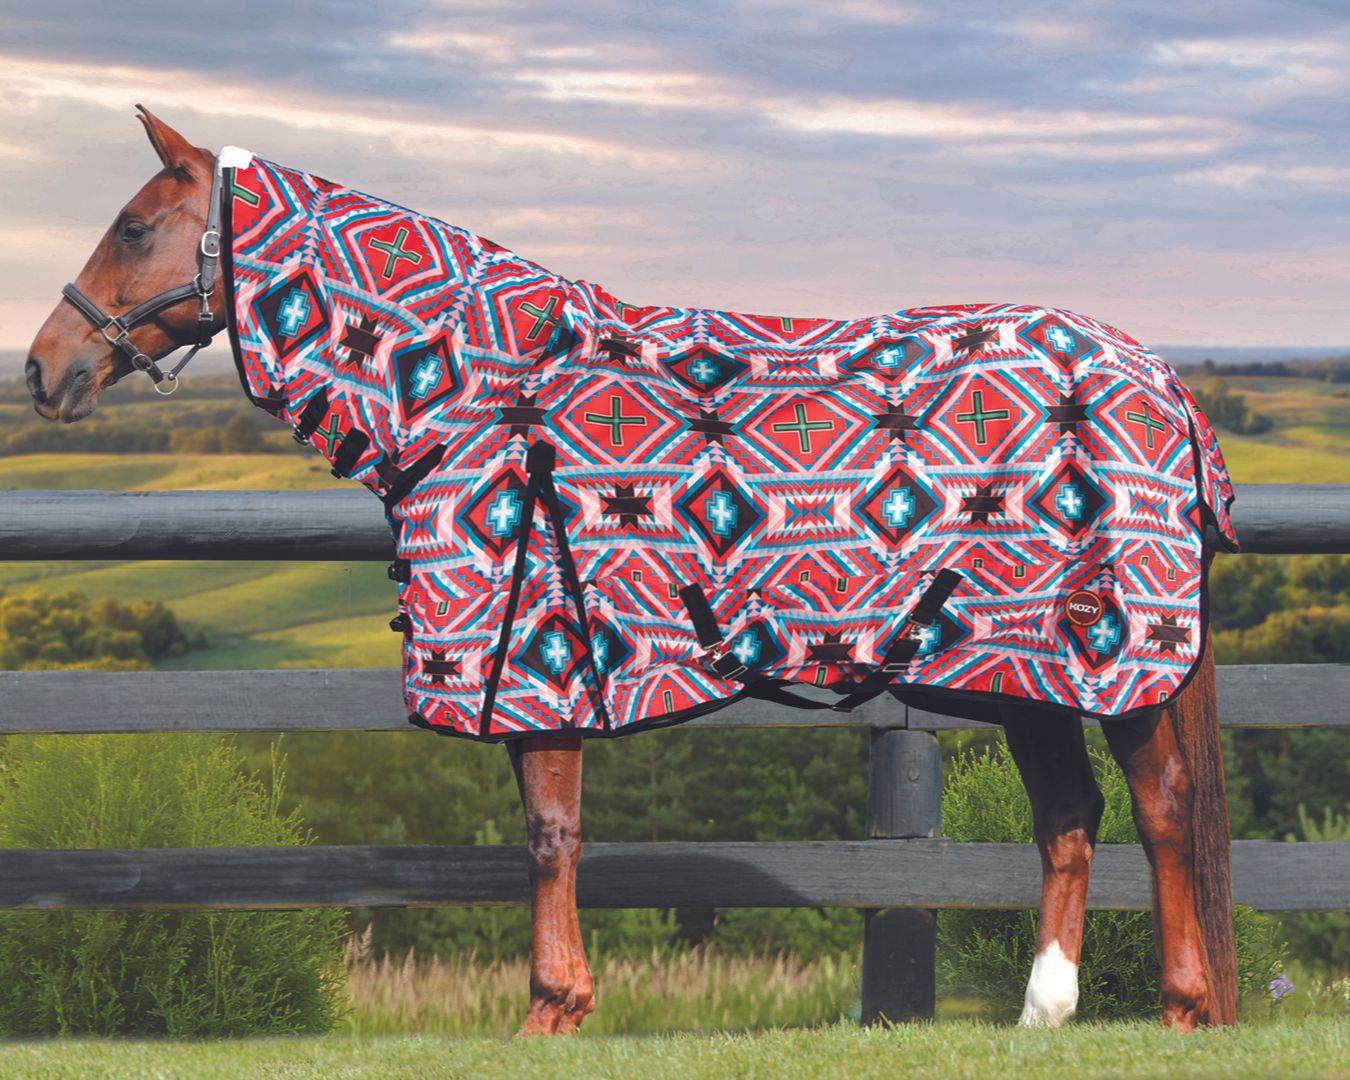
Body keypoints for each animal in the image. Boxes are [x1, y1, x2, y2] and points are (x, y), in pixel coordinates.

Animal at [25, 107, 1238, 1033]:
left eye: (134, 226)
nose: (43, 368)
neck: (484, 382)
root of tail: (1157, 375)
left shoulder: (540, 662)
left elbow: (550, 837)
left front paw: (551, 1009)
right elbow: (551, 837)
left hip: (1111, 657)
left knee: (1162, 810)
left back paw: (1182, 1006)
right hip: (1017, 667)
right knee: (1071, 817)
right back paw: (1044, 1015)